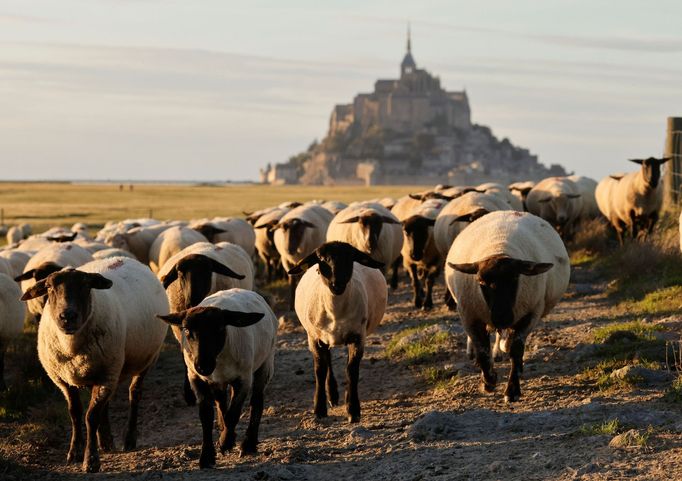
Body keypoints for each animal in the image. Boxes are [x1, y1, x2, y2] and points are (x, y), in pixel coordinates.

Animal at [21, 256, 170, 470]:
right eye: (49, 287)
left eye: (86, 285)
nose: (67, 316)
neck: (71, 347)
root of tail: (123, 258)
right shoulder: (64, 380)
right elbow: (75, 413)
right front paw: (74, 452)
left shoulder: (106, 375)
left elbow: (90, 417)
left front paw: (90, 461)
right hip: (107, 370)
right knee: (105, 405)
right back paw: (106, 441)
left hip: (145, 359)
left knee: (134, 394)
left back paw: (129, 439)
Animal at [157, 286, 276, 466]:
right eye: (187, 330)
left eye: (220, 328)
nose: (203, 365)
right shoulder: (196, 379)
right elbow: (206, 416)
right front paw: (207, 456)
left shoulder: (244, 379)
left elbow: (233, 414)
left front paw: (225, 443)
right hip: (218, 382)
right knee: (222, 403)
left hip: (265, 362)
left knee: (256, 401)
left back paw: (248, 444)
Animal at [286, 242, 386, 422]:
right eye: (321, 259)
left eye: (350, 257)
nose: (337, 284)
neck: (335, 312)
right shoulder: (314, 338)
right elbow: (320, 370)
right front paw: (319, 409)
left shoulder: (357, 337)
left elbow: (352, 371)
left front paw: (353, 410)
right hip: (323, 337)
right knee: (328, 361)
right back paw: (332, 396)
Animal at [444, 210, 572, 402]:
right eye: (480, 282)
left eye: (514, 278)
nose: (501, 317)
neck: (499, 248)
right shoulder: (470, 317)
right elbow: (482, 351)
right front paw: (488, 381)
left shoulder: (530, 314)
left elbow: (516, 350)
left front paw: (512, 390)